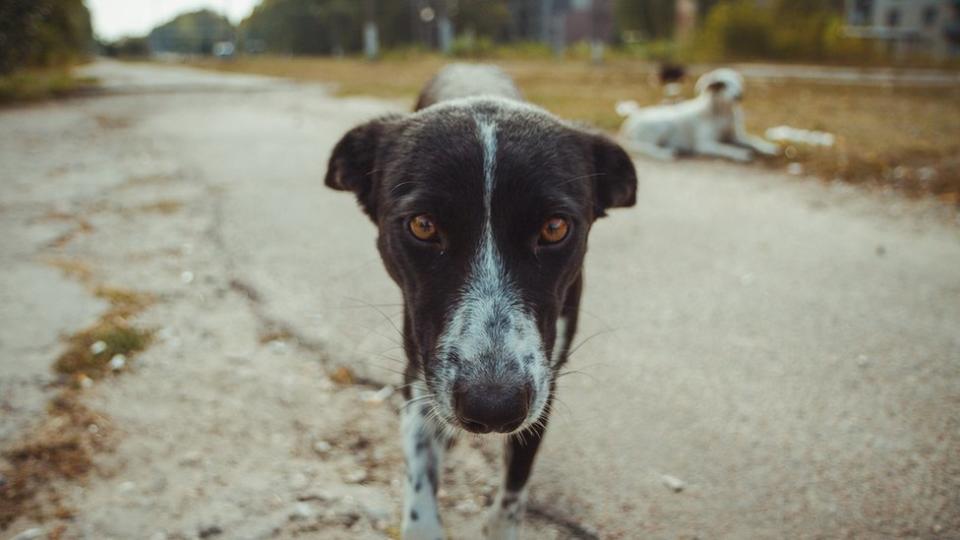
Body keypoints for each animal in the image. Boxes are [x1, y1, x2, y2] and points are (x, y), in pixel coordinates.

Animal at [324, 64, 636, 540]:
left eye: (555, 228)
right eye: (422, 225)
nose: (492, 408)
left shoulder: (545, 379)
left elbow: (515, 484)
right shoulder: (420, 365)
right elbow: (421, 478)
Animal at [616, 67, 780, 161]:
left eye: (737, 82)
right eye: (722, 84)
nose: (739, 96)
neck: (723, 113)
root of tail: (627, 124)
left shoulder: (736, 136)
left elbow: (754, 140)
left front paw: (769, 147)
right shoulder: (705, 143)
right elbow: (725, 148)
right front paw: (740, 153)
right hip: (661, 126)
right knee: (641, 146)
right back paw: (665, 153)